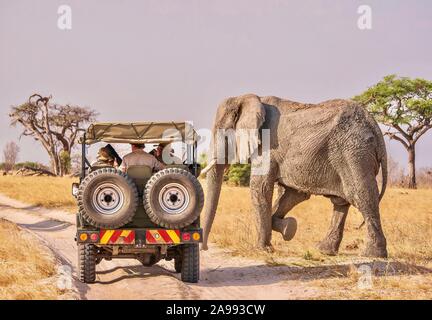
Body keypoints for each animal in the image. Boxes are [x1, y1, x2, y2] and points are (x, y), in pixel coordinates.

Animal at [202, 92, 388, 258]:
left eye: (223, 133)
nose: (204, 248)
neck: (251, 98)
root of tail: (375, 128)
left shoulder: (267, 147)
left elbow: (260, 188)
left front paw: (262, 249)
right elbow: (294, 194)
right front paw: (289, 228)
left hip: (354, 153)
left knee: (361, 195)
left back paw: (372, 255)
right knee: (341, 202)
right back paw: (324, 250)